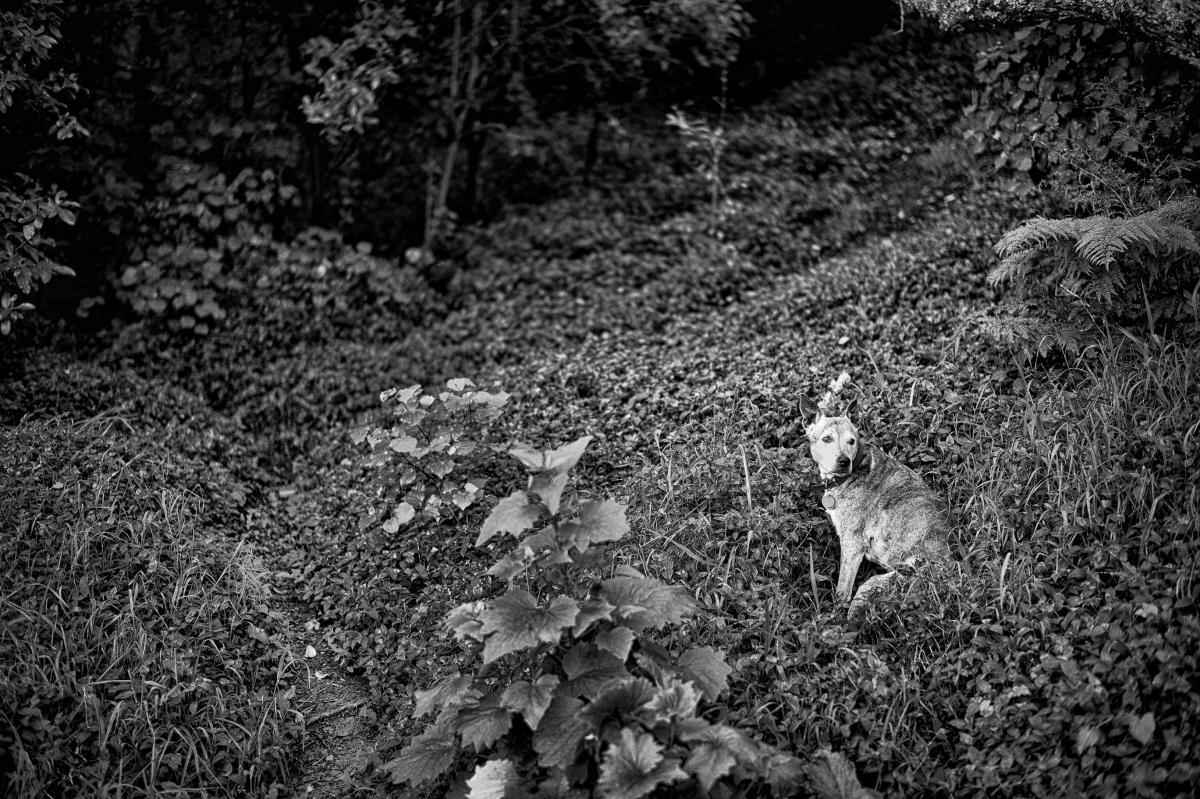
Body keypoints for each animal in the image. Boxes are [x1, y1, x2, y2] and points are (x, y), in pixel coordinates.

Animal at [801, 405, 950, 614]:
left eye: (851, 441)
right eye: (826, 438)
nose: (844, 461)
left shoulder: (852, 543)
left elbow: (842, 591)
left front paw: (835, 617)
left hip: (898, 561)